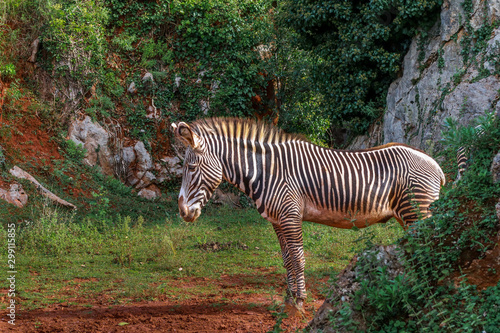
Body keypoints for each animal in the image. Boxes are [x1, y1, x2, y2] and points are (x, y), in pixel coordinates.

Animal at [172, 116, 446, 308]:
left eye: (191, 167)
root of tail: (436, 165)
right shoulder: (277, 220)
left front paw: (300, 302)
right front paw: (288, 297)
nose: (183, 212)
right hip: (408, 215)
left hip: (417, 211)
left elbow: (298, 258)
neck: (266, 171)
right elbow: (286, 259)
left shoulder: (290, 216)